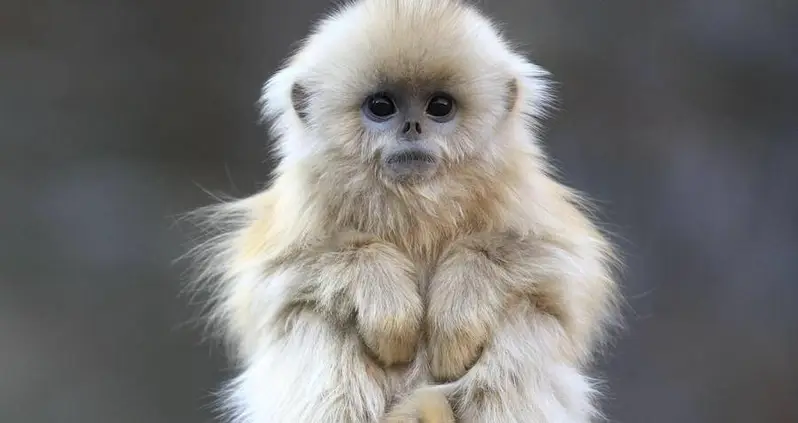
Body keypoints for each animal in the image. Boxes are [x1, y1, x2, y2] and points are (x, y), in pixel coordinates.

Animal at [184, 0, 620, 423]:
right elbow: (271, 284)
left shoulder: (521, 195)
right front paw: (385, 299)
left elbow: (562, 270)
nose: (412, 127)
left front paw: (457, 313)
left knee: (526, 322)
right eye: (381, 106)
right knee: (316, 321)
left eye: (439, 106)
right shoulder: (299, 207)